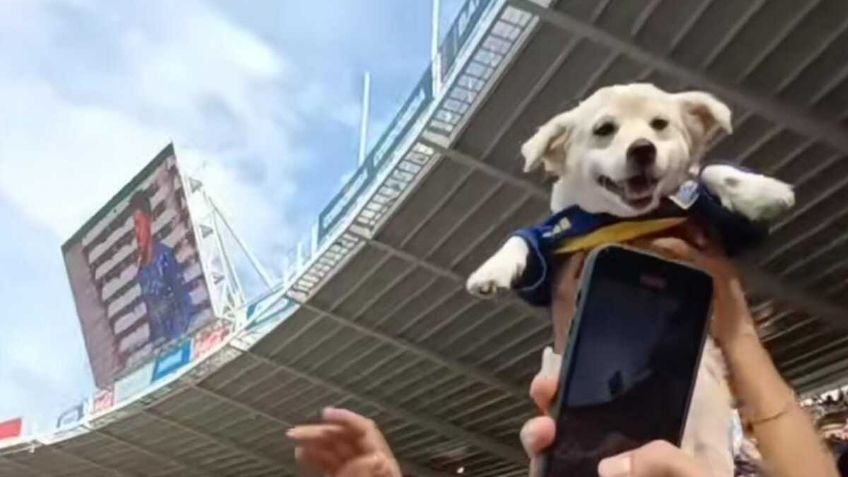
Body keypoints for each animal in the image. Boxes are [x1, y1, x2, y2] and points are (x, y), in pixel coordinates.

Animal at [468, 83, 792, 474]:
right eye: (604, 130)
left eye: (660, 125)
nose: (642, 148)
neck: (622, 218)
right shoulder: (554, 251)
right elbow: (520, 237)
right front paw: (491, 271)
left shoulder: (720, 230)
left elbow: (707, 174)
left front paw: (761, 192)